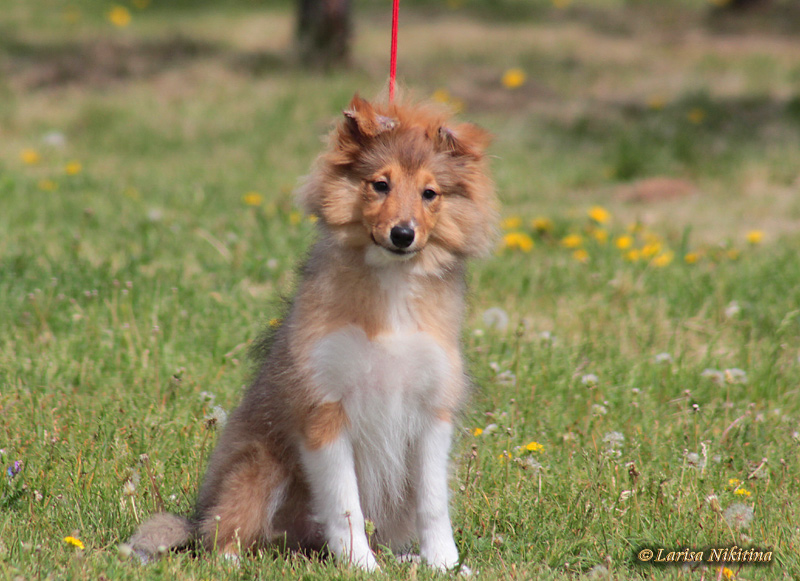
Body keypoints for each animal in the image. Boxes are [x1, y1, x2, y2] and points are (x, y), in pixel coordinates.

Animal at [128, 94, 497, 572]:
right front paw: (360, 566)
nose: (402, 234)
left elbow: (433, 502)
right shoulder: (324, 408)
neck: (390, 292)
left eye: (429, 193)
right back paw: (235, 563)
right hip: (259, 467)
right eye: (380, 185)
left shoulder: (432, 410)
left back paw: (404, 558)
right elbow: (344, 504)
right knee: (223, 533)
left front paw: (445, 564)